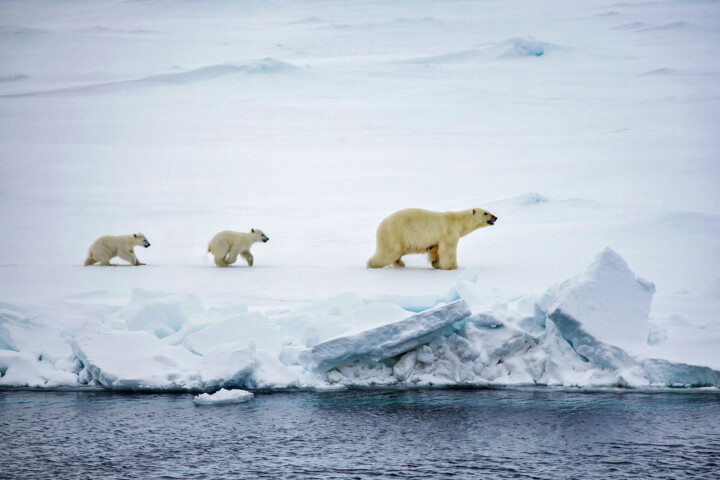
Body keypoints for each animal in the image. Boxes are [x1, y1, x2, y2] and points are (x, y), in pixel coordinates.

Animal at [367, 208, 497, 270]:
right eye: (485, 213)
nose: (495, 217)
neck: (458, 222)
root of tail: (380, 226)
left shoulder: (436, 240)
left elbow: (435, 250)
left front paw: (436, 263)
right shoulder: (448, 232)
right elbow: (448, 250)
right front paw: (453, 267)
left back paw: (400, 263)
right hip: (395, 234)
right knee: (389, 252)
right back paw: (372, 265)